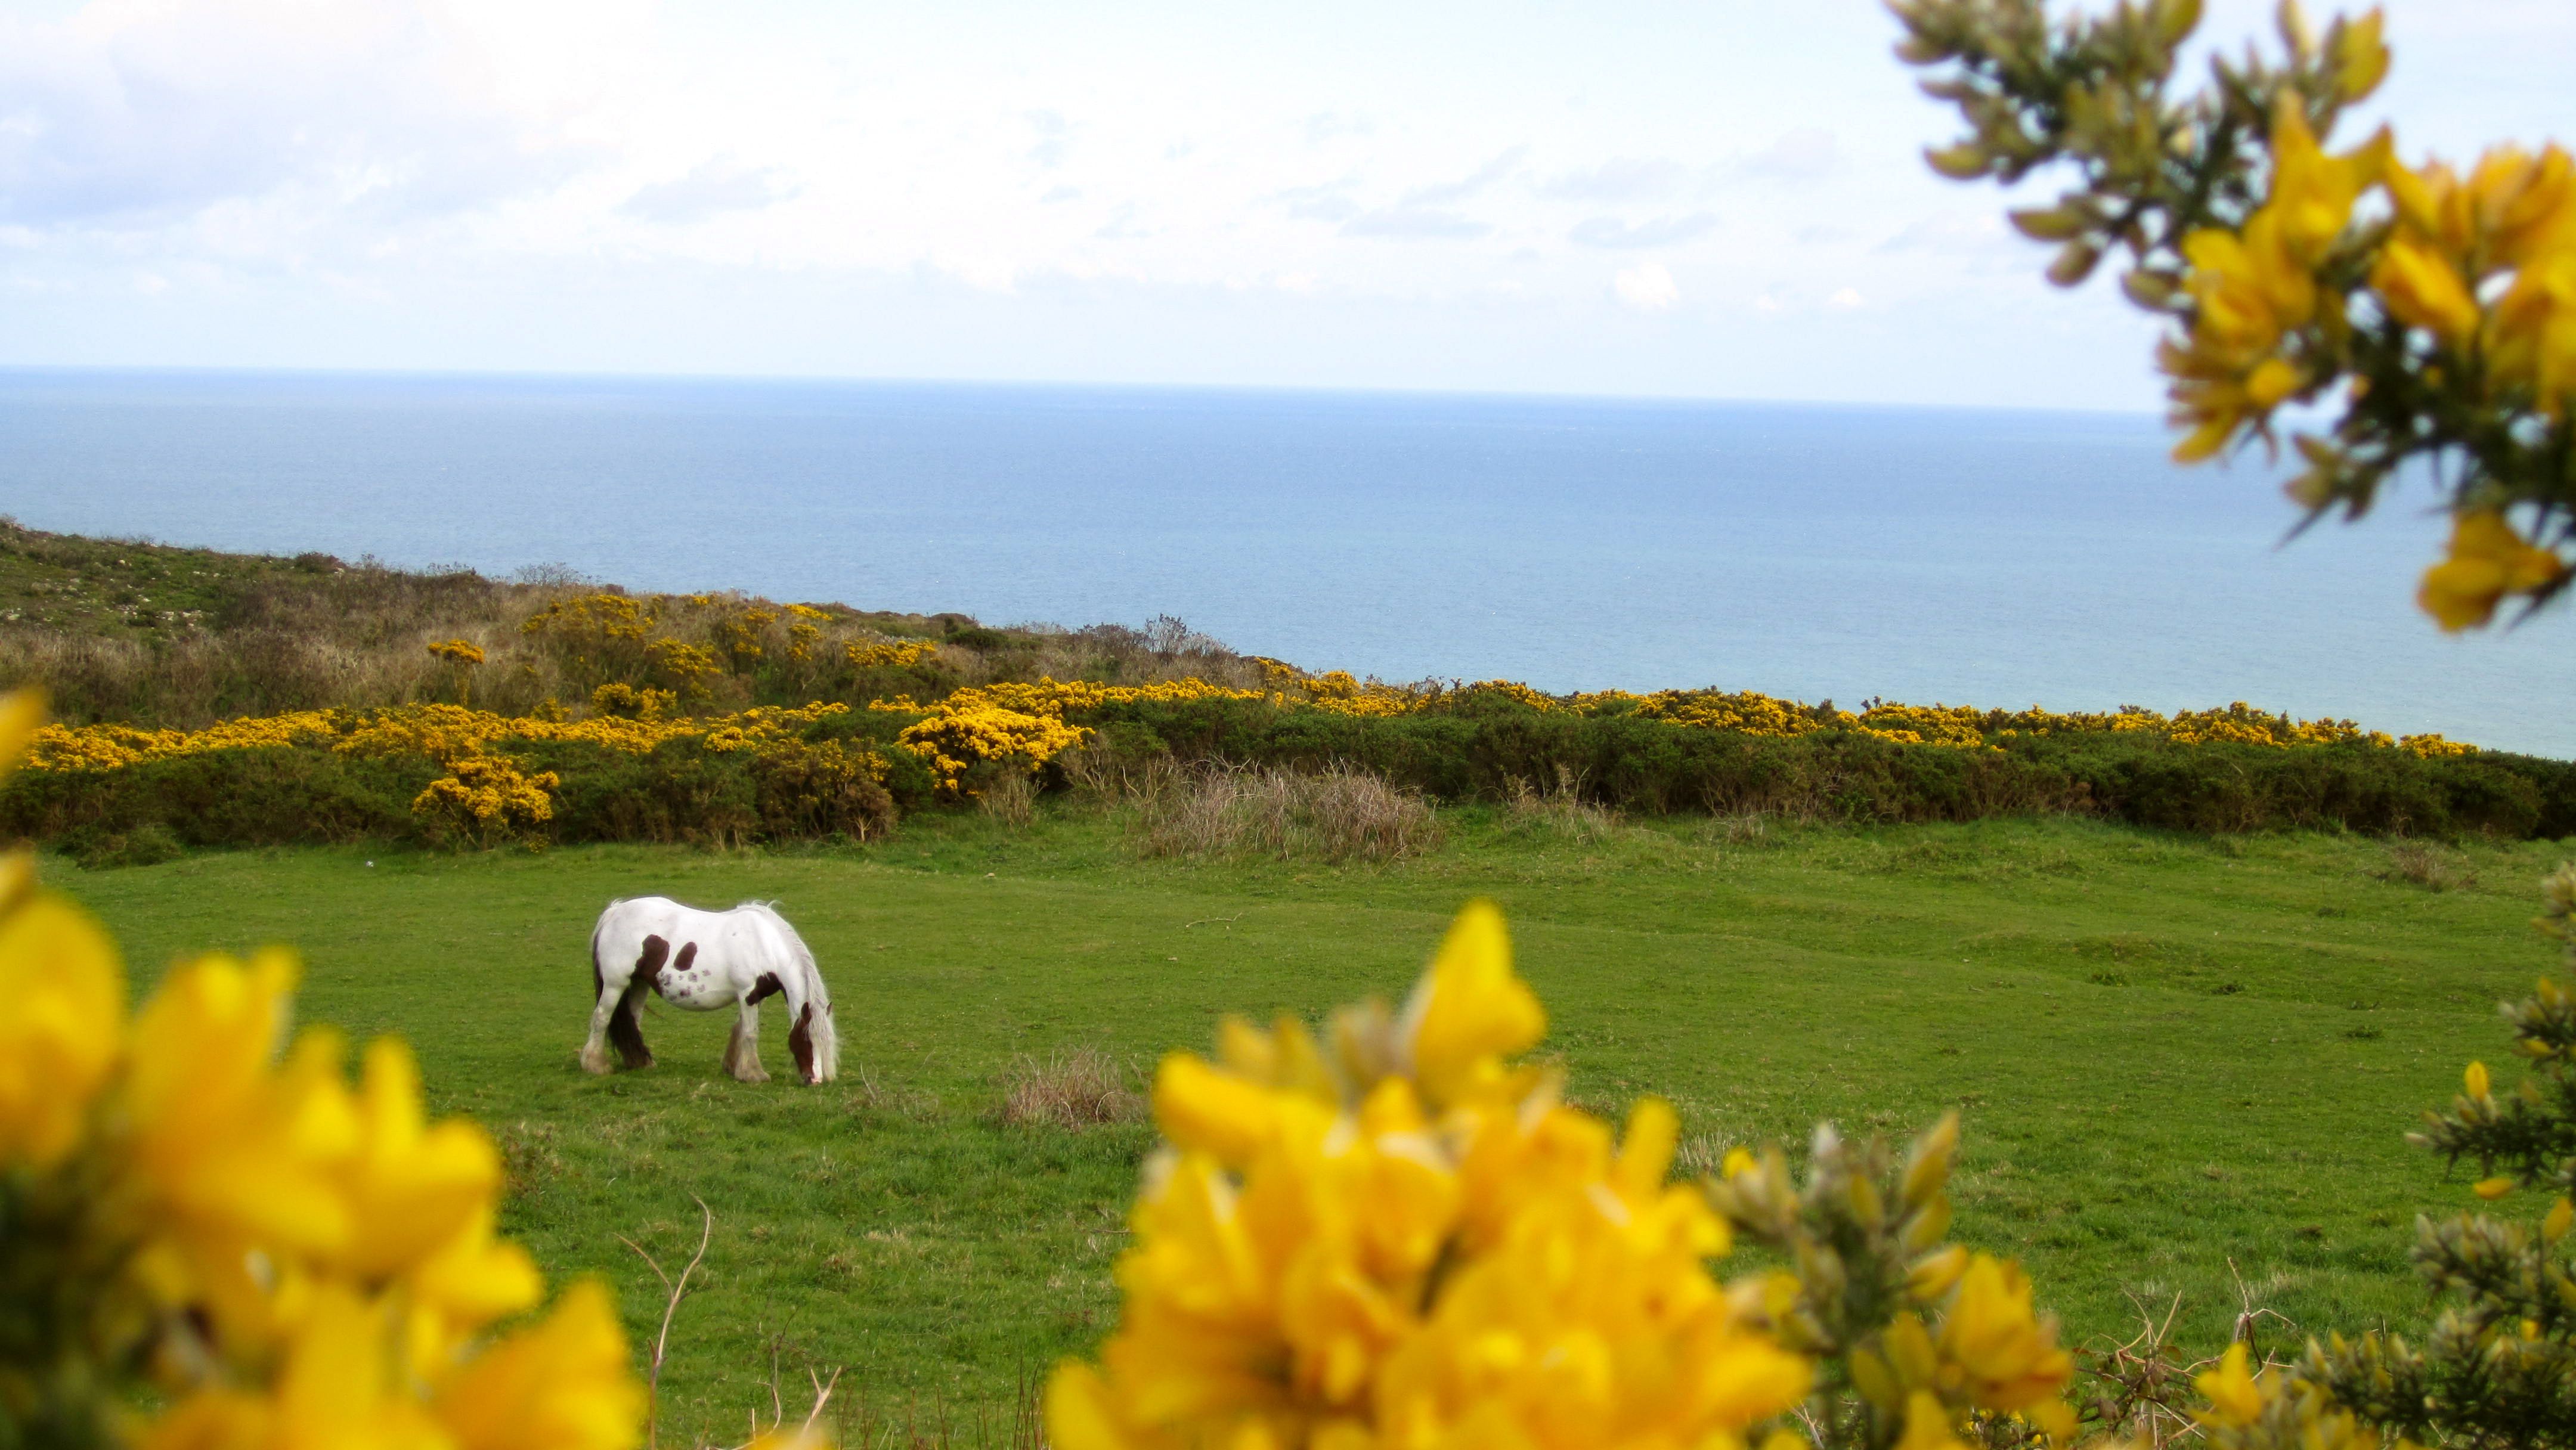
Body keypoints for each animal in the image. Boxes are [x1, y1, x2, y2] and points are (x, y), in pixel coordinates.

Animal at [580, 897, 840, 1085]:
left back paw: (639, 1063)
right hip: (616, 984)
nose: (815, 1080)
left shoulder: (753, 997)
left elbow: (739, 1030)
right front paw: (754, 1075)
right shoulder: (748, 995)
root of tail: (614, 911)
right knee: (601, 1018)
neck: (765, 945)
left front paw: (733, 1067)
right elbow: (750, 1033)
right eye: (806, 1038)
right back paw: (595, 1065)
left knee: (633, 1021)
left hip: (639, 984)